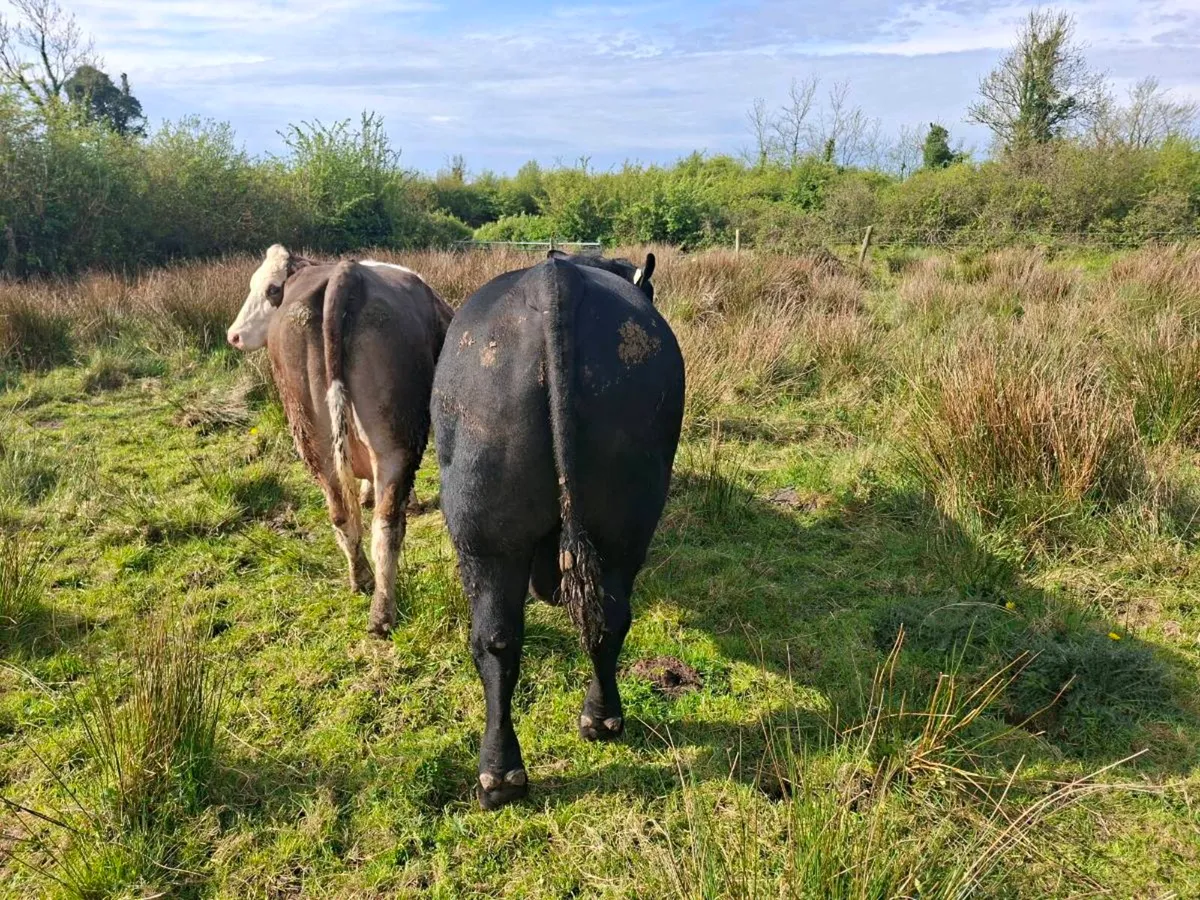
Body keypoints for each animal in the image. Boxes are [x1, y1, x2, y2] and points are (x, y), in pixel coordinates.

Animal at [227, 245, 454, 636]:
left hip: (318, 439)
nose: (233, 335)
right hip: (387, 440)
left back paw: (365, 588)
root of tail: (346, 274)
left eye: (272, 289)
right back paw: (378, 606)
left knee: (349, 516)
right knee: (380, 523)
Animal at [431, 250, 684, 809]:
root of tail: (557, 279)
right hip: (620, 520)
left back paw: (500, 774)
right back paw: (597, 722)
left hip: (484, 532)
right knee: (596, 622)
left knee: (497, 641)